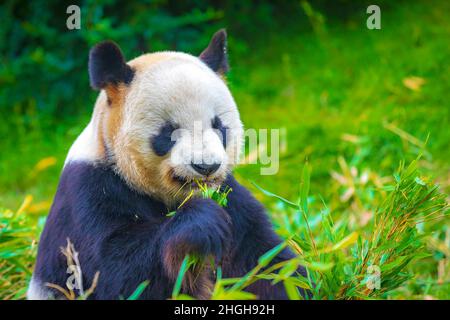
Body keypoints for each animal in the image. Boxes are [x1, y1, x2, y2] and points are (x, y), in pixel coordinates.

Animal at [28, 29, 308, 300]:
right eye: (169, 131)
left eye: (218, 126)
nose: (205, 166)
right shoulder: (90, 190)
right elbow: (111, 271)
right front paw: (202, 222)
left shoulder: (231, 197)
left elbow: (264, 260)